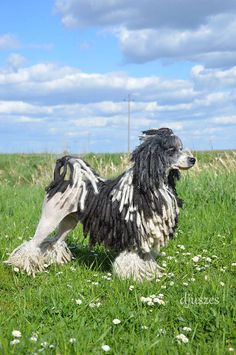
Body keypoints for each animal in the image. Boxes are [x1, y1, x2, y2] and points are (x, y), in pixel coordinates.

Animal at [5, 128, 195, 280]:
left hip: (68, 222)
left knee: (54, 243)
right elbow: (131, 259)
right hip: (49, 219)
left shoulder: (147, 232)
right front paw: (134, 278)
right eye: (171, 150)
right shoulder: (132, 232)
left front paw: (150, 273)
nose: (193, 159)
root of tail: (60, 182)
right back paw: (21, 266)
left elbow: (147, 257)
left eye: (181, 147)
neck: (148, 186)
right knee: (32, 244)